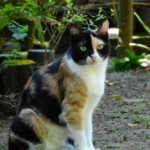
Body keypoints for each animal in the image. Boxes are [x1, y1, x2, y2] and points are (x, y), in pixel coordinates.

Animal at [8, 19, 110, 150]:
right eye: (83, 48)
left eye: (100, 46)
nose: (93, 57)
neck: (92, 73)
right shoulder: (71, 109)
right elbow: (80, 135)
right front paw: (84, 148)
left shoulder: (87, 111)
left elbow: (88, 132)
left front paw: (91, 148)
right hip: (27, 115)